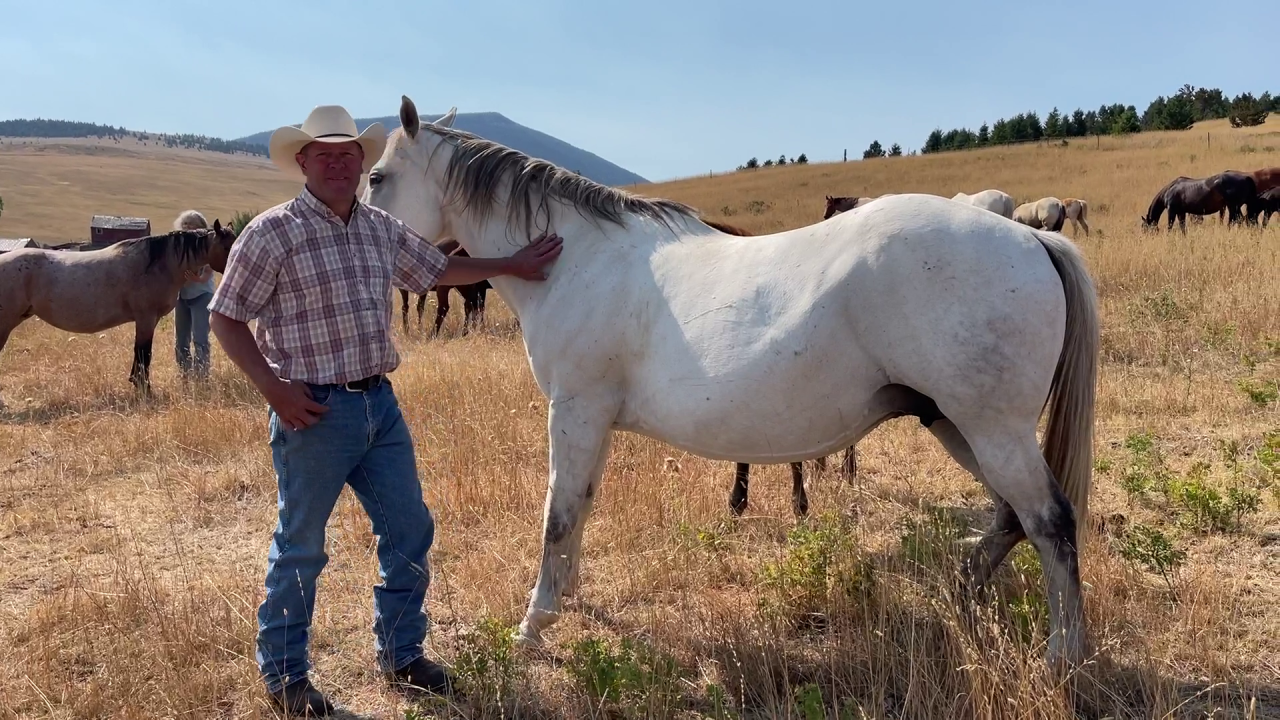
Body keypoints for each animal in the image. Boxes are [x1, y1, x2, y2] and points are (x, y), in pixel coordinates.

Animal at [0, 212, 238, 404]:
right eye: (228, 246)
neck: (157, 263)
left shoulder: (147, 320)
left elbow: (139, 355)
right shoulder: (145, 319)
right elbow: (143, 354)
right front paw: (145, 390)